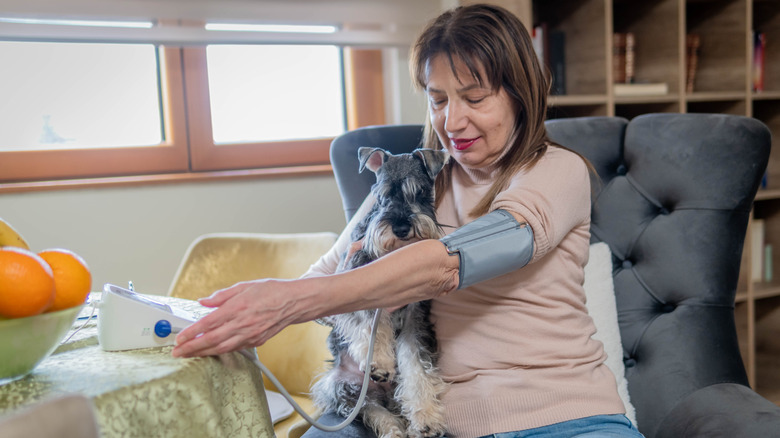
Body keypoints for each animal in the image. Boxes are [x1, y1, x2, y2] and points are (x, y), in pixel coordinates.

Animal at [314, 147, 450, 438]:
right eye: (383, 195)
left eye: (420, 192)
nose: (401, 228)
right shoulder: (353, 283)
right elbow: (367, 321)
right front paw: (379, 362)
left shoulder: (414, 317)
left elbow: (415, 364)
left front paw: (426, 417)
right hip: (337, 385)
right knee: (369, 408)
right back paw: (392, 428)